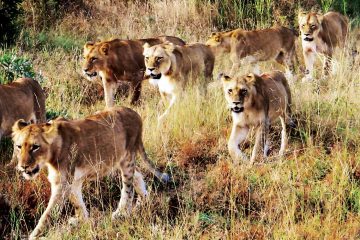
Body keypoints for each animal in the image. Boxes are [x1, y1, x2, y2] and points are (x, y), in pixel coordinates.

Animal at [11, 108, 169, 239]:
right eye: (19, 146)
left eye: (35, 147)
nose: (23, 167)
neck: (53, 152)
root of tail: (135, 113)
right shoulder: (72, 182)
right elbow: (78, 204)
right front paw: (84, 222)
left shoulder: (63, 183)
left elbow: (48, 214)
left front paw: (34, 235)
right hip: (119, 159)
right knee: (137, 175)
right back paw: (145, 199)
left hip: (127, 159)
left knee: (128, 188)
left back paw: (122, 212)